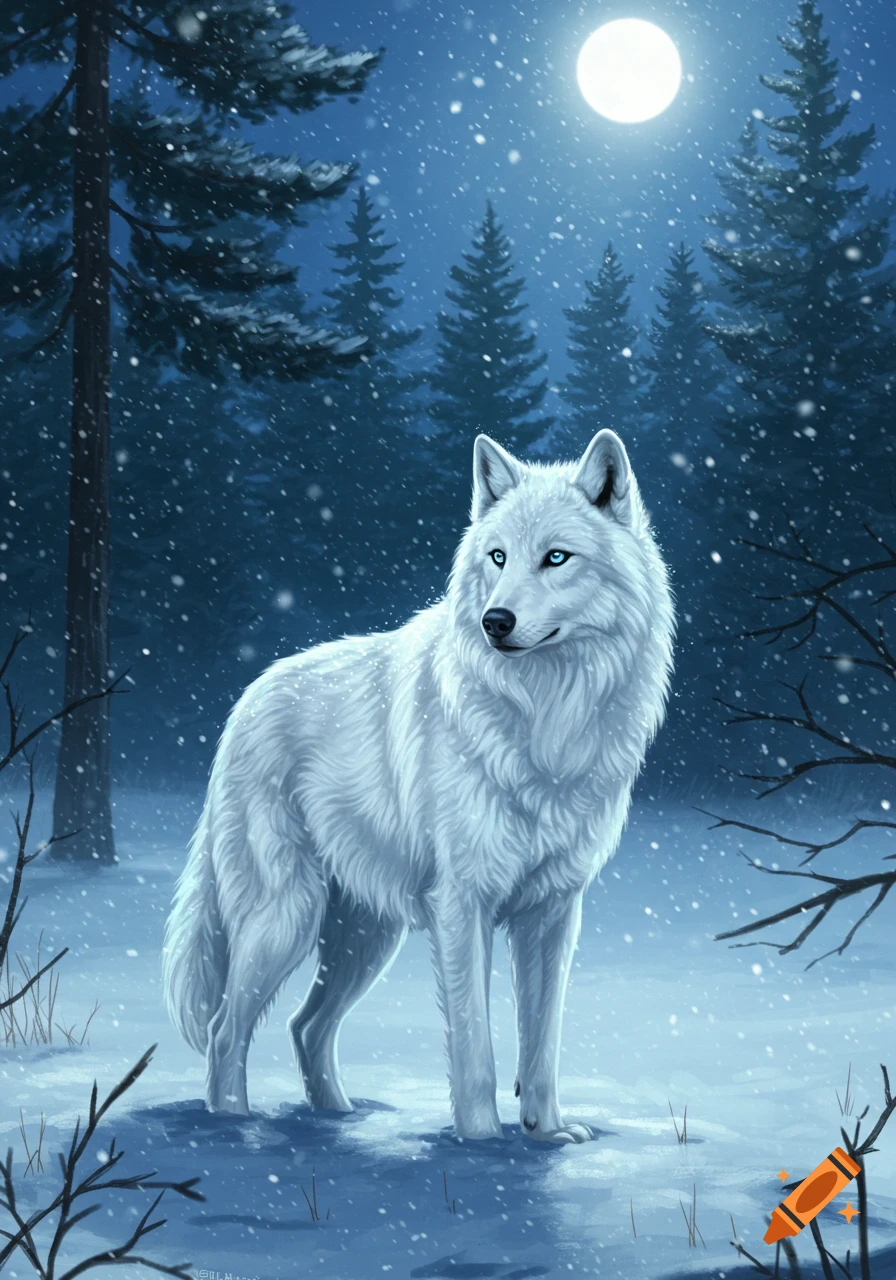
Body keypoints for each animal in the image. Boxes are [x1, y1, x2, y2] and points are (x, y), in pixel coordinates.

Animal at [163, 429, 674, 1143]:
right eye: (496, 556)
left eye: (555, 558)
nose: (495, 620)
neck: (545, 722)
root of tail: (245, 701)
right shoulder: (463, 905)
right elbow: (476, 1046)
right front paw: (481, 1142)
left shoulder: (552, 912)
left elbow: (541, 1040)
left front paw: (545, 1133)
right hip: (285, 919)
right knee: (223, 1029)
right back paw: (235, 1128)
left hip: (364, 939)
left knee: (304, 1026)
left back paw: (338, 1118)